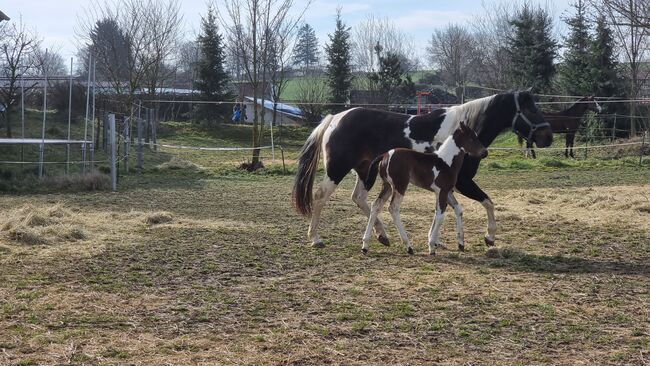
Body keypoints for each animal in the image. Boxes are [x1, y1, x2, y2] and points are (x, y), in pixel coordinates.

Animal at [360, 122, 486, 254]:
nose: (485, 153)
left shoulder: (446, 192)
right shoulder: (442, 191)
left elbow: (455, 210)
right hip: (400, 185)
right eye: (471, 138)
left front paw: (460, 243)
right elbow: (440, 216)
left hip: (388, 186)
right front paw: (431, 247)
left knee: (376, 206)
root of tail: (385, 155)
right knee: (393, 208)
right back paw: (408, 246)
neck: (446, 162)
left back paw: (365, 245)